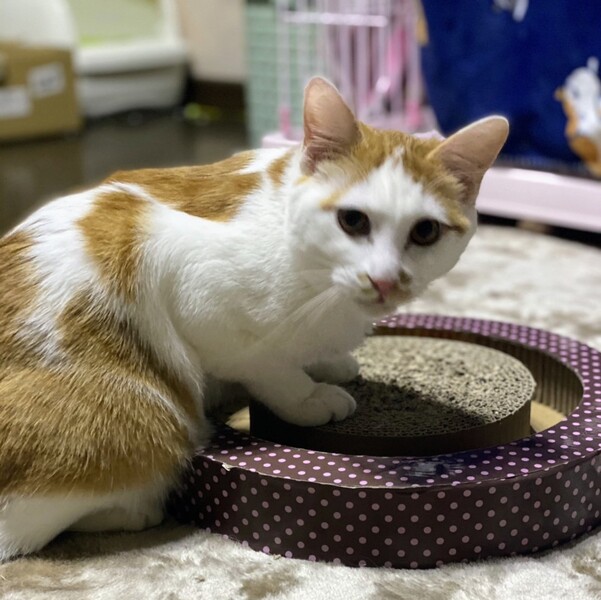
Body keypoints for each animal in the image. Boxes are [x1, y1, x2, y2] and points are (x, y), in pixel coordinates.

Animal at [0, 77, 508, 560]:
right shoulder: (191, 284)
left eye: (425, 232)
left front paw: (327, 362)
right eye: (353, 221)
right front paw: (308, 395)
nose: (386, 281)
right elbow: (266, 363)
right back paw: (134, 510)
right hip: (153, 417)